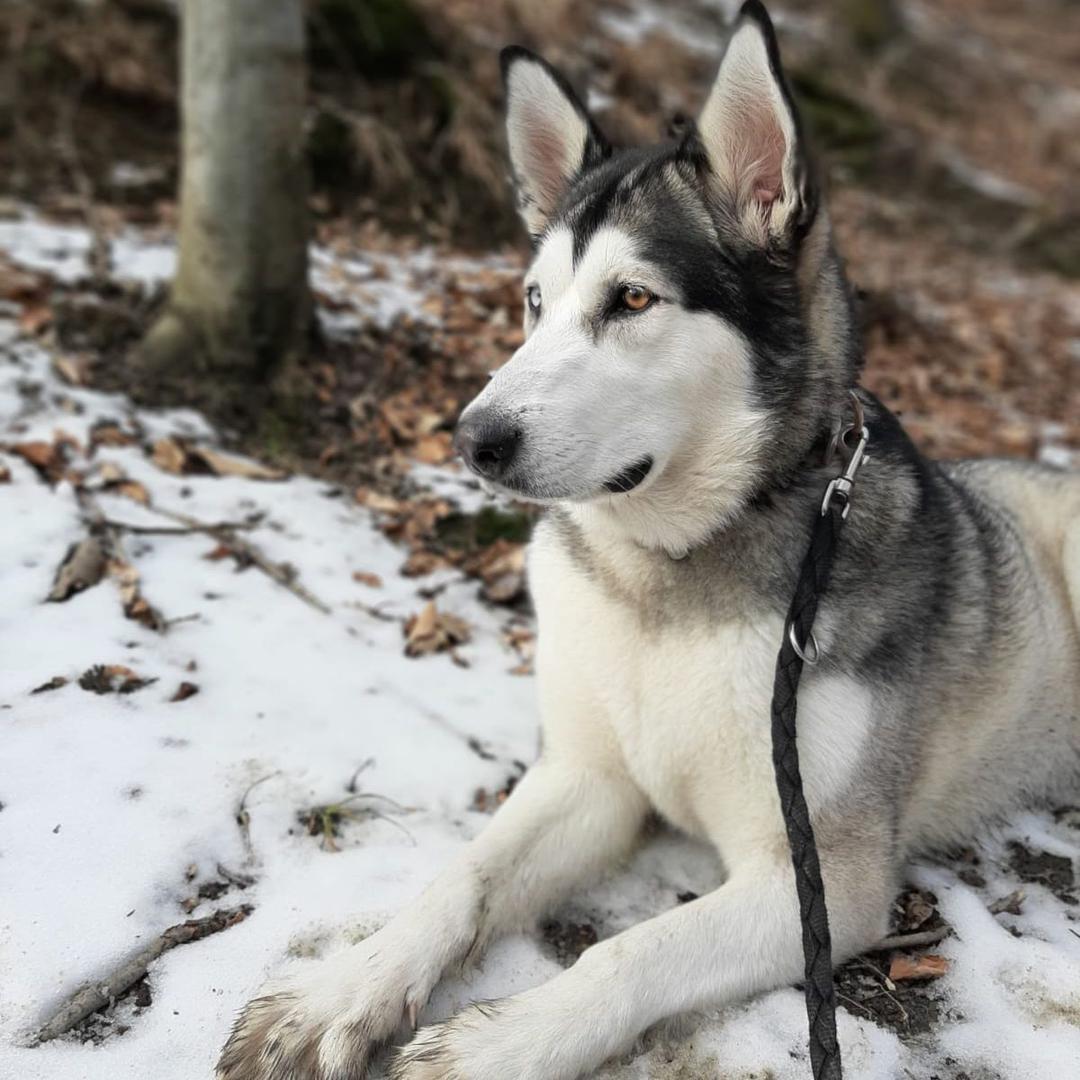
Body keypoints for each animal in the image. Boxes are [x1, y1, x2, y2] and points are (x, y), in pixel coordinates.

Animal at [219, 2, 1080, 1080]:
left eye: (632, 299)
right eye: (534, 301)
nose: (472, 439)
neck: (665, 582)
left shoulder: (820, 879)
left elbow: (631, 951)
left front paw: (502, 1044)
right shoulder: (590, 779)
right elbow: (463, 877)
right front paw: (342, 991)